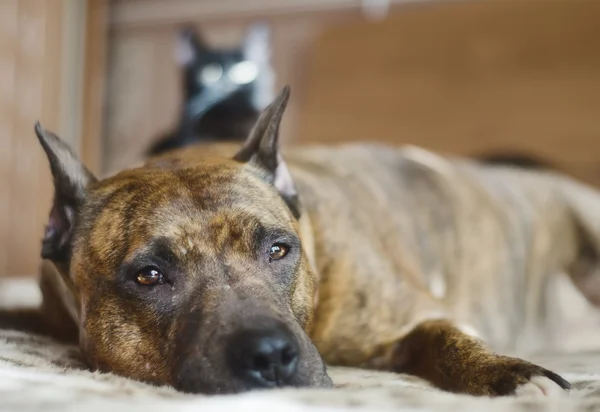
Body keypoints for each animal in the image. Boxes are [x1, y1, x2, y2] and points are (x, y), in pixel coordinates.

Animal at [9, 86, 600, 396]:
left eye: (278, 250)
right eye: (149, 276)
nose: (270, 355)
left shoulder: (416, 317)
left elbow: (447, 338)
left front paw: (511, 374)